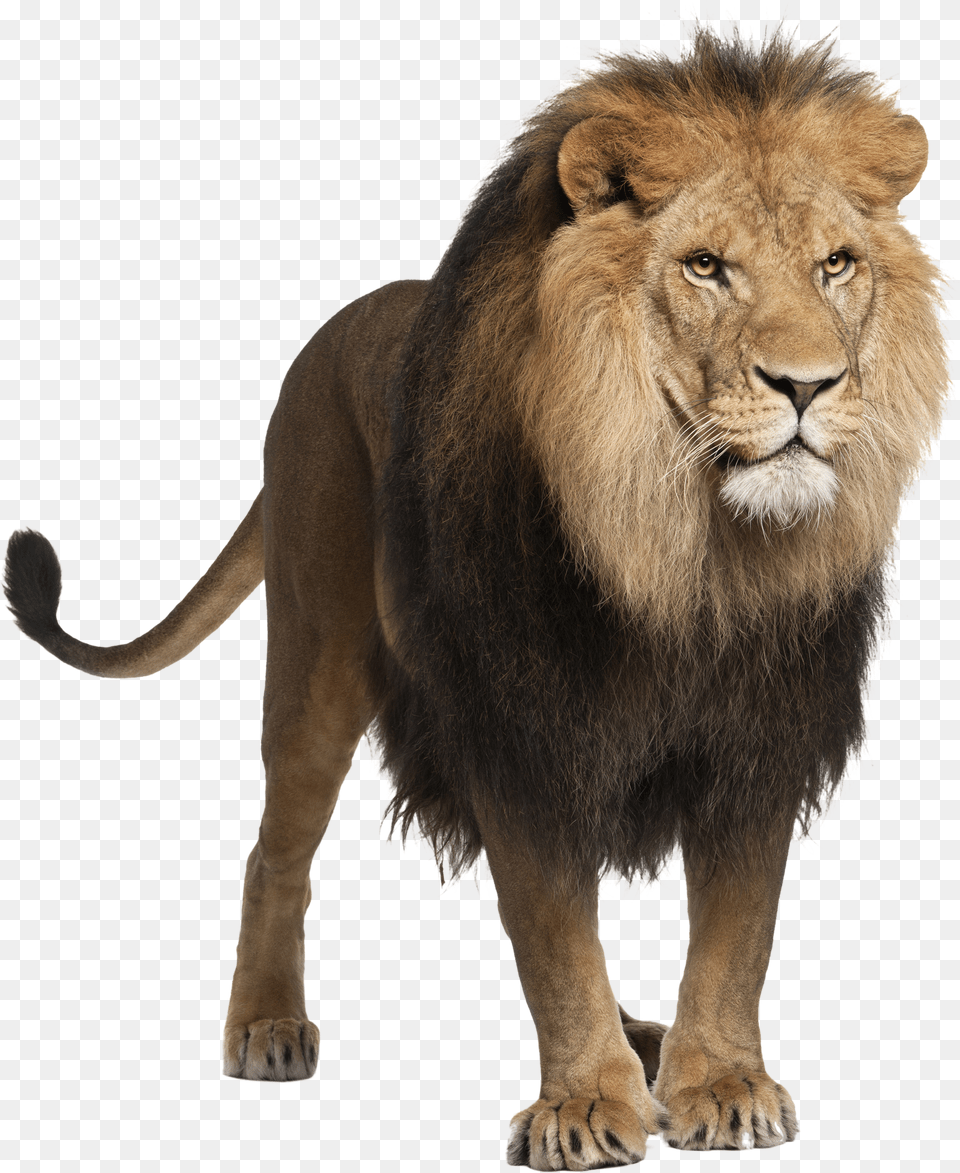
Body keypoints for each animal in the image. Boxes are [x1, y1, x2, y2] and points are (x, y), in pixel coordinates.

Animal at [4, 30, 947, 1166]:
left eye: (836, 264)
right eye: (706, 266)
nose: (807, 385)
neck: (684, 547)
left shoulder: (758, 735)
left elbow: (737, 932)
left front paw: (719, 1081)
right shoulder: (518, 728)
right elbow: (552, 936)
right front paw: (585, 1104)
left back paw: (650, 1041)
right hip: (317, 656)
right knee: (275, 849)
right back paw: (267, 1024)